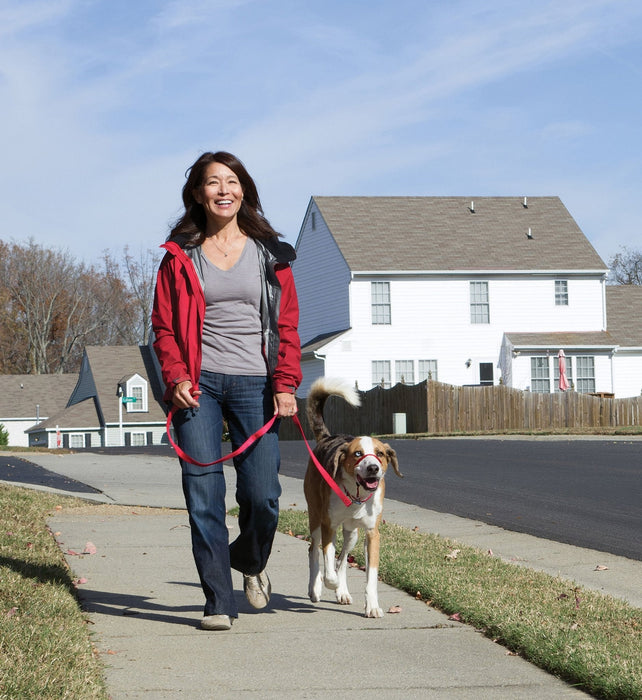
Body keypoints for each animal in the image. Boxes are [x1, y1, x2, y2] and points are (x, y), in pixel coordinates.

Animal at [304, 378, 400, 616]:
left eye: (380, 454)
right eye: (358, 454)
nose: (374, 467)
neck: (356, 497)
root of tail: (327, 438)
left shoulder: (372, 533)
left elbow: (370, 575)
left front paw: (372, 606)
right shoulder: (328, 526)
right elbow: (328, 564)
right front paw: (330, 583)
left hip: (352, 533)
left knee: (342, 560)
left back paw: (342, 592)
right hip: (315, 518)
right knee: (314, 551)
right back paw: (315, 588)